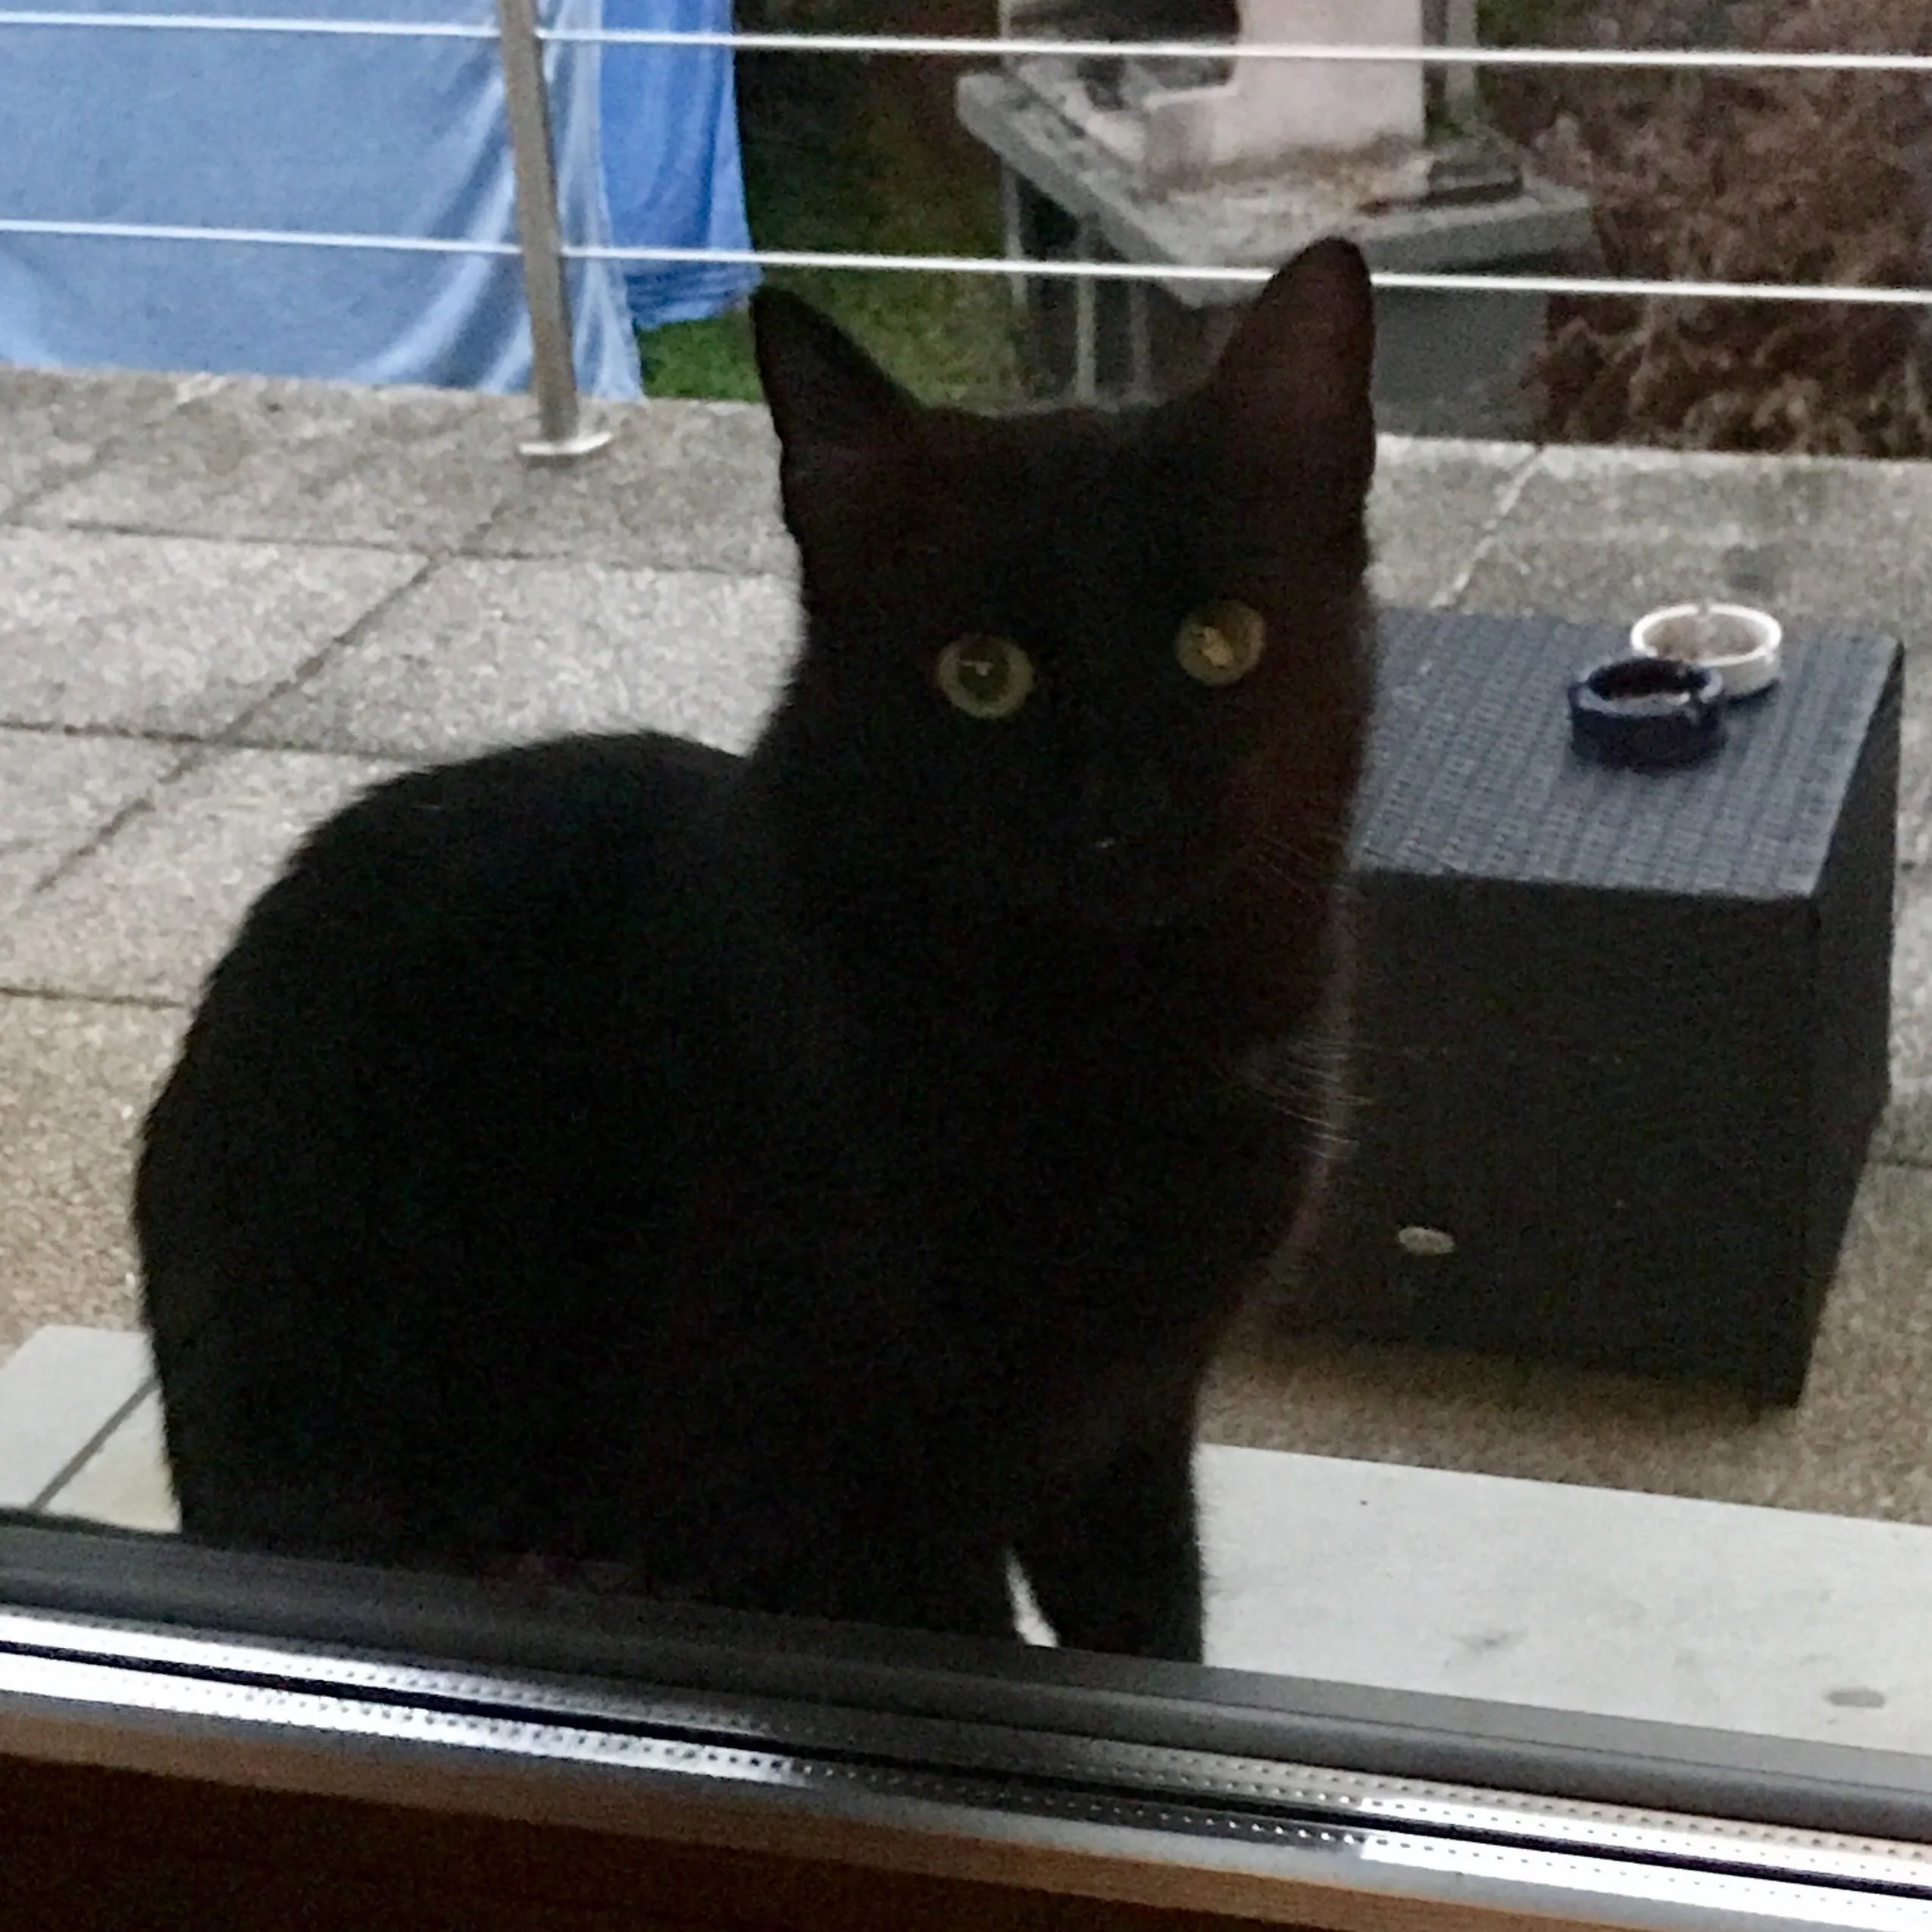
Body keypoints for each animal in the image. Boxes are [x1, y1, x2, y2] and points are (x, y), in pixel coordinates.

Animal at [135, 237, 1378, 1662]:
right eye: (980, 673)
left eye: (1219, 643)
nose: (1121, 806)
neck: (1110, 1039)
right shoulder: (850, 1498)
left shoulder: (1124, 1432)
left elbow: (1151, 1633)